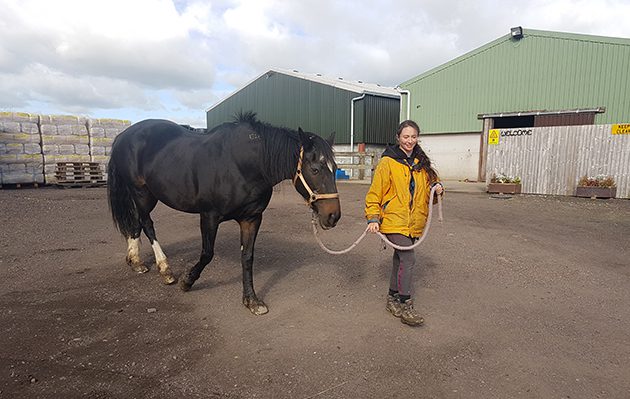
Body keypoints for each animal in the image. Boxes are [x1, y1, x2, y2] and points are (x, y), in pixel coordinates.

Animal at [108, 111, 340, 316]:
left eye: (335, 168)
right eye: (315, 169)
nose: (333, 216)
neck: (241, 164)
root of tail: (123, 136)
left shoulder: (251, 218)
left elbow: (247, 257)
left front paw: (251, 301)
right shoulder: (209, 216)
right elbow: (207, 253)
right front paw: (187, 281)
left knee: (136, 222)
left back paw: (136, 261)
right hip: (141, 193)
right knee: (147, 224)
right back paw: (165, 270)